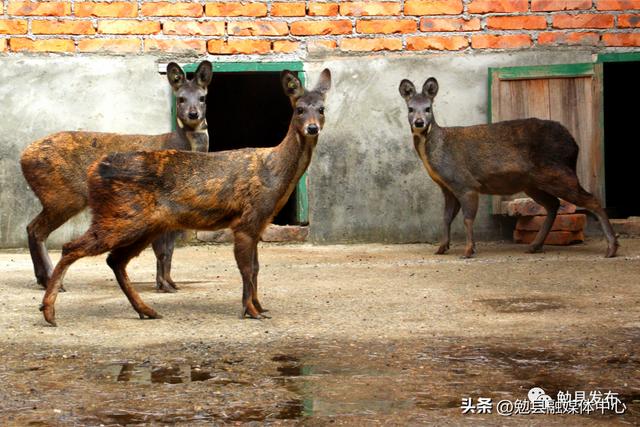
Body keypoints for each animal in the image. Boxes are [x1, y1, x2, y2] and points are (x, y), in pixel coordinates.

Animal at [20, 61, 212, 294]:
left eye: (202, 98)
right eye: (181, 98)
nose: (193, 114)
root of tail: (23, 156)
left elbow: (169, 251)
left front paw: (169, 283)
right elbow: (162, 250)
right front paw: (164, 285)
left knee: (31, 228)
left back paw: (44, 280)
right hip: (62, 195)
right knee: (37, 230)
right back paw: (51, 281)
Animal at [41, 68, 330, 326]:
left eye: (322, 109)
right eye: (299, 109)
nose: (312, 128)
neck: (274, 171)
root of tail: (94, 172)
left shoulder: (260, 222)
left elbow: (256, 268)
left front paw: (259, 307)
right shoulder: (247, 220)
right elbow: (247, 269)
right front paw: (251, 311)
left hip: (145, 224)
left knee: (115, 260)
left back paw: (146, 310)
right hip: (120, 215)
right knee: (72, 247)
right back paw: (49, 312)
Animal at [398, 77, 616, 260]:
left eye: (428, 108)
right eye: (410, 109)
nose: (419, 122)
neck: (437, 149)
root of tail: (574, 144)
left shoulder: (465, 183)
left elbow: (467, 219)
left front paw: (468, 251)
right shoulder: (447, 188)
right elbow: (445, 218)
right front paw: (442, 248)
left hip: (559, 172)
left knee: (592, 199)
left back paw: (611, 248)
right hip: (533, 182)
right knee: (553, 204)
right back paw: (534, 246)